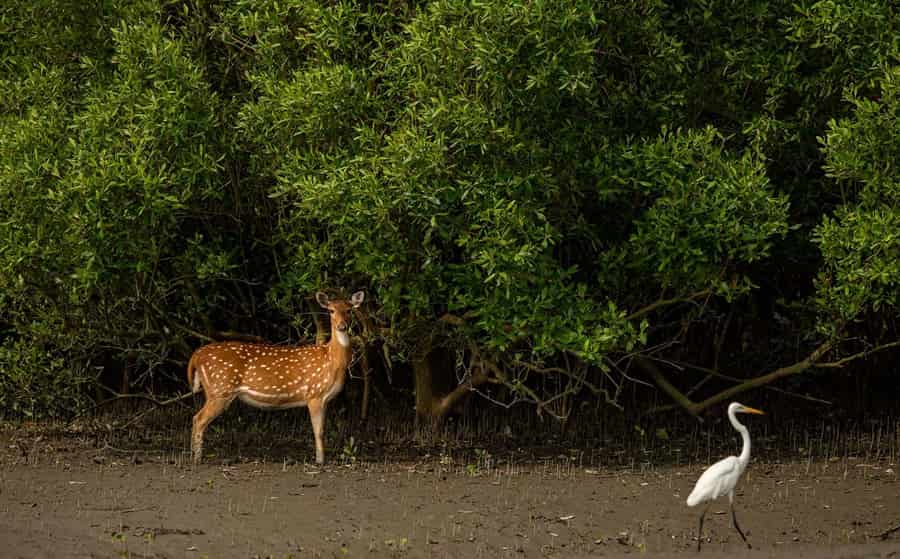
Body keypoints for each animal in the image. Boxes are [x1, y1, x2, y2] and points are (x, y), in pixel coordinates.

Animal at [187, 290, 366, 466]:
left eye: (349, 310)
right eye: (331, 310)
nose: (342, 326)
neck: (332, 361)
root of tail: (196, 355)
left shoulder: (325, 399)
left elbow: (322, 429)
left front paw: (321, 460)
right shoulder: (314, 393)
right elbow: (319, 431)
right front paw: (320, 462)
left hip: (215, 390)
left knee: (196, 418)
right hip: (220, 389)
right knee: (198, 419)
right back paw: (197, 459)